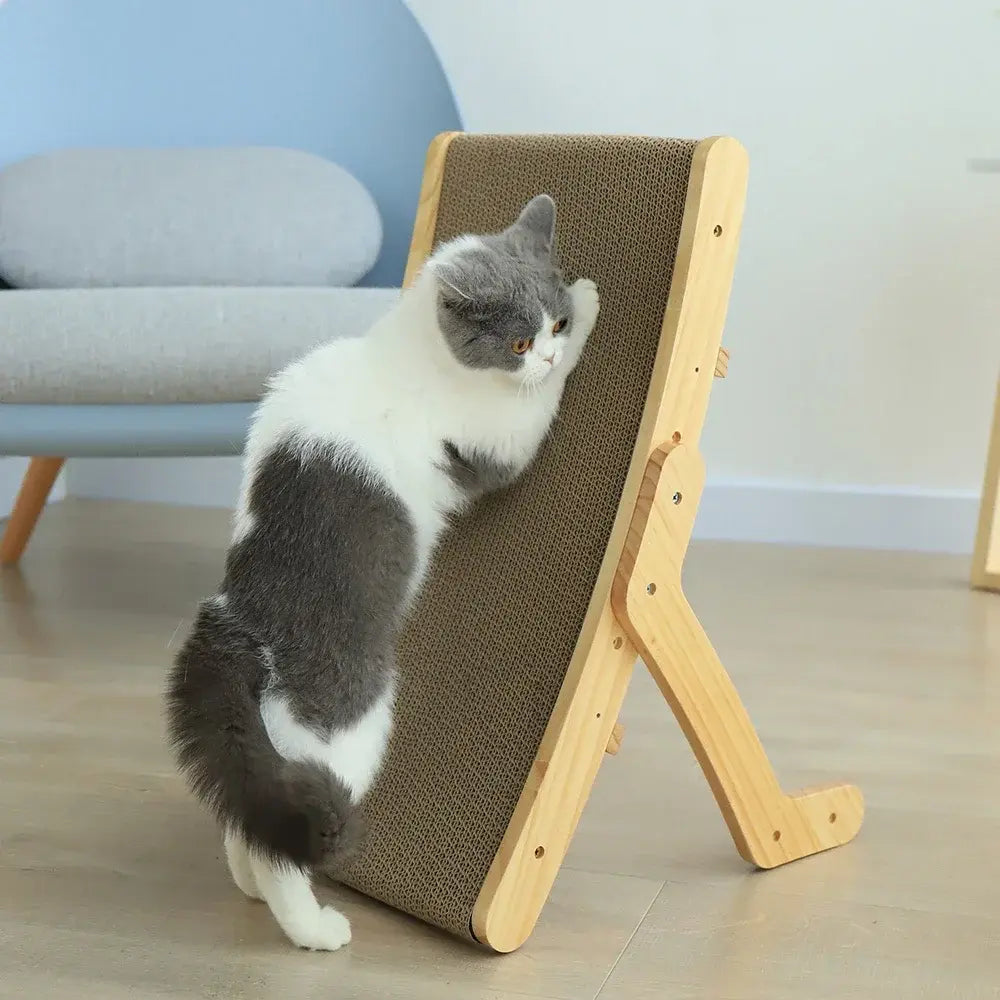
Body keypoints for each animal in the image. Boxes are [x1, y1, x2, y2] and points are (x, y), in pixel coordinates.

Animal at [165, 191, 600, 948]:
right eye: (519, 344)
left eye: (550, 322)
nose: (546, 349)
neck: (408, 353)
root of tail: (235, 625)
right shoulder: (495, 439)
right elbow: (530, 416)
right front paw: (592, 306)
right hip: (350, 725)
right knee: (288, 835)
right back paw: (312, 928)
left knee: (251, 812)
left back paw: (248, 883)